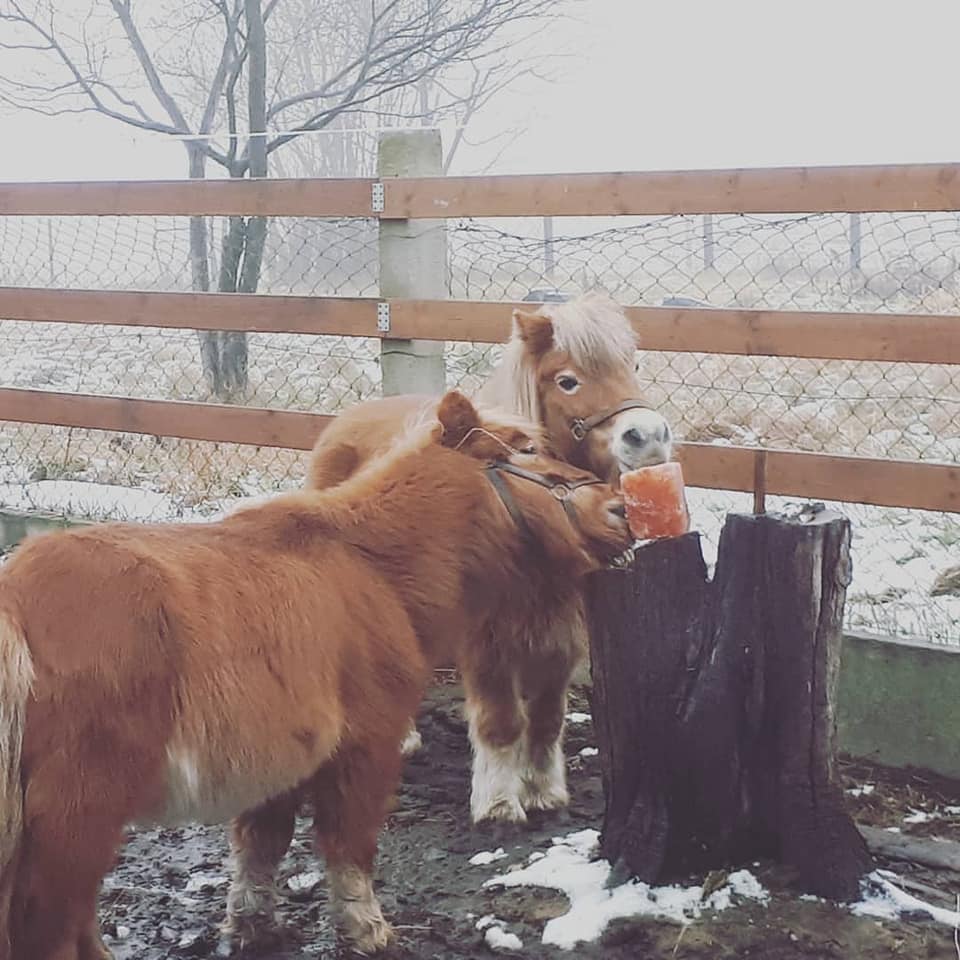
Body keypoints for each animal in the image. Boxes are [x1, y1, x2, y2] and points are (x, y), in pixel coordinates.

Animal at [0, 390, 631, 960]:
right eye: (525, 450)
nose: (619, 508)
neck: (369, 564)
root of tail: (18, 598)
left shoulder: (279, 762)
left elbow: (260, 847)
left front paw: (252, 929)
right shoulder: (365, 747)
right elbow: (349, 846)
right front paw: (367, 933)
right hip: (74, 820)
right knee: (46, 931)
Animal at [304, 292, 672, 824]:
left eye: (634, 365)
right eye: (568, 380)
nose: (649, 436)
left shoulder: (562, 633)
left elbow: (546, 717)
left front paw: (543, 790)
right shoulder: (486, 640)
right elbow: (501, 721)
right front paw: (499, 802)